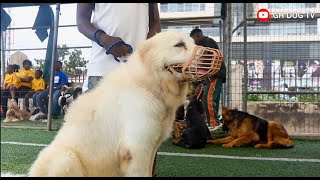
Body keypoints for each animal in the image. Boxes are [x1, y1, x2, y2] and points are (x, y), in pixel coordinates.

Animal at [25, 30, 218, 176]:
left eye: (192, 42)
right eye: (179, 45)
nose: (210, 52)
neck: (148, 85)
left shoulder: (150, 149)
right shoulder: (138, 149)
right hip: (66, 158)